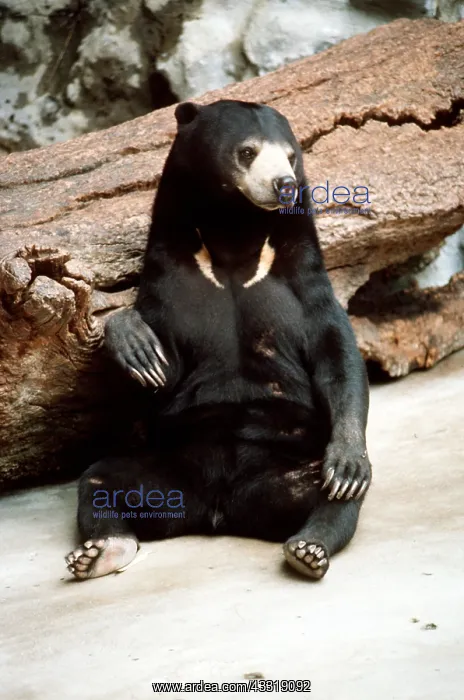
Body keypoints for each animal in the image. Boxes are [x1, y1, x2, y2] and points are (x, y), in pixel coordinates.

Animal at [65, 99, 371, 581]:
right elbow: (163, 373)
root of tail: (218, 508)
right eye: (247, 151)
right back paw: (101, 551)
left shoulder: (304, 285)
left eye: (291, 156)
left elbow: (337, 355)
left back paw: (309, 545)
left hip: (284, 472)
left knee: (332, 496)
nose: (285, 185)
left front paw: (348, 461)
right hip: (169, 471)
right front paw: (136, 345)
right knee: (100, 480)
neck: (235, 234)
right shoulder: (172, 281)